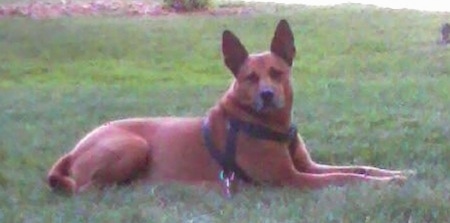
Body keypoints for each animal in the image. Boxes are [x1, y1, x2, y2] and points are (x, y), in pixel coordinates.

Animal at [46, 20, 408, 195]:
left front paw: (396, 174)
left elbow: (358, 168)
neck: (268, 123)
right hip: (134, 145)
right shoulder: (292, 179)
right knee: (88, 189)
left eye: (277, 72)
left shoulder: (308, 166)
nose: (267, 95)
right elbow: (345, 177)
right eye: (250, 77)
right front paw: (387, 184)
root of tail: (72, 151)